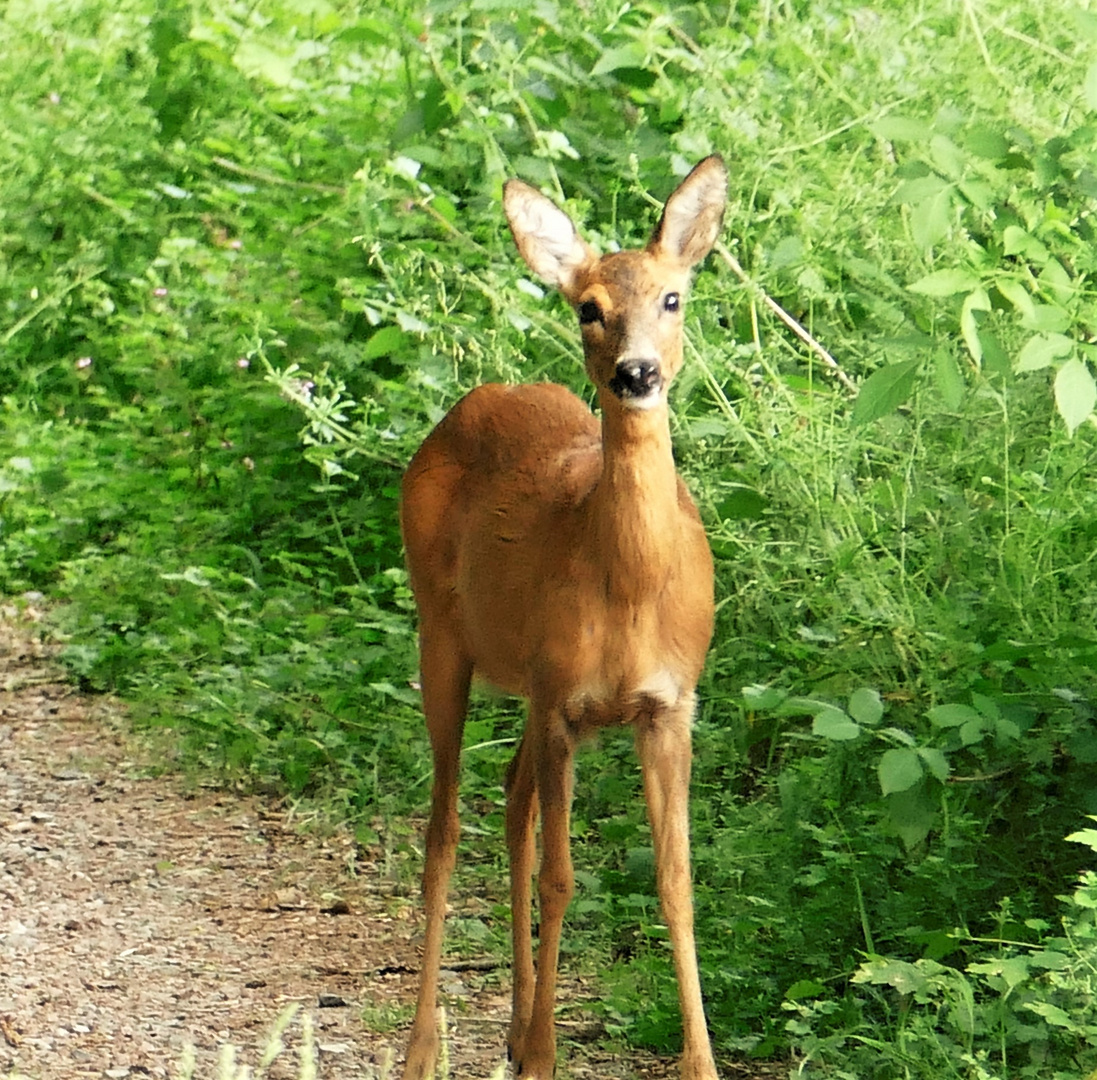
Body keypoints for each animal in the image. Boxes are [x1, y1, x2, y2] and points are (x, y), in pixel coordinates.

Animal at [399, 155, 724, 1074]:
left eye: (672, 297)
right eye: (589, 307)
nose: (636, 373)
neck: (628, 588)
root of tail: (473, 401)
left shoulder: (667, 704)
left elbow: (675, 881)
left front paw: (700, 1061)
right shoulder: (561, 701)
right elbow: (562, 875)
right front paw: (545, 1053)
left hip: (522, 679)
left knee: (510, 802)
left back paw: (510, 1024)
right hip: (442, 637)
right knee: (444, 829)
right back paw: (426, 1044)